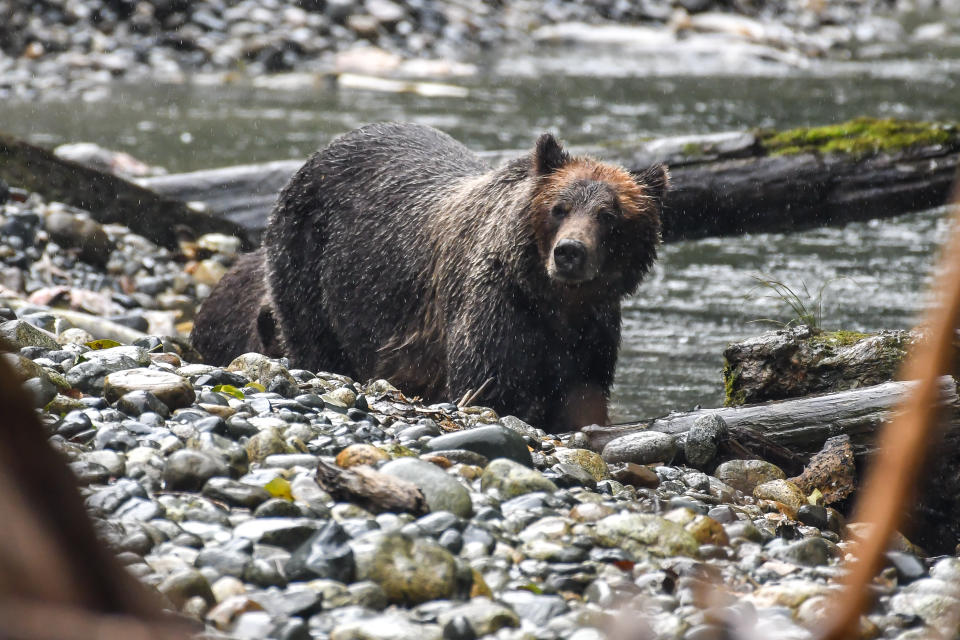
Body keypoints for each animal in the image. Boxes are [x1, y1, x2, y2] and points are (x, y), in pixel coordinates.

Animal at [193, 122, 668, 432]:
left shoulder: (591, 330)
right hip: (309, 262)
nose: (570, 252)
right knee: (313, 338)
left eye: (609, 216)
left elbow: (583, 395)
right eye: (559, 207)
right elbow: (490, 385)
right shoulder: (496, 306)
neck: (553, 300)